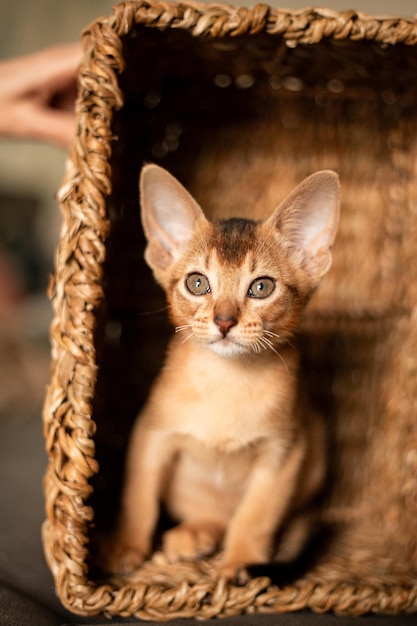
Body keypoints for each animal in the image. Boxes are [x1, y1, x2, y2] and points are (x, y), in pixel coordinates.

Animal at [109, 162, 340, 580]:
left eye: (261, 287)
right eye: (197, 283)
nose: (224, 321)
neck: (227, 381)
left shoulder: (284, 452)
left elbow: (255, 515)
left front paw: (240, 563)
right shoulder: (150, 434)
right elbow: (138, 498)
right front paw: (125, 546)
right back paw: (193, 533)